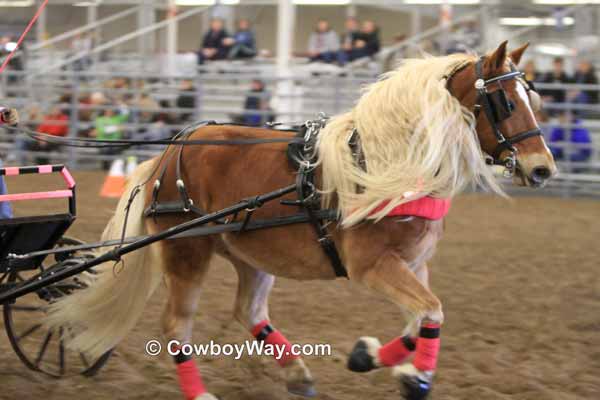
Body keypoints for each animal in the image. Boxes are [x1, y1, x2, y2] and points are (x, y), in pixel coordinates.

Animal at [47, 41, 556, 400]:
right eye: (506, 102)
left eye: (534, 99)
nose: (543, 169)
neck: (386, 165)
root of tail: (171, 151)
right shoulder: (372, 266)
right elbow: (431, 311)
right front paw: (414, 378)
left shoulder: (414, 263)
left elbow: (420, 320)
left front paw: (375, 359)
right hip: (187, 251)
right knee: (176, 326)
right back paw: (202, 393)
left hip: (249, 251)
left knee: (249, 311)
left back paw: (297, 374)